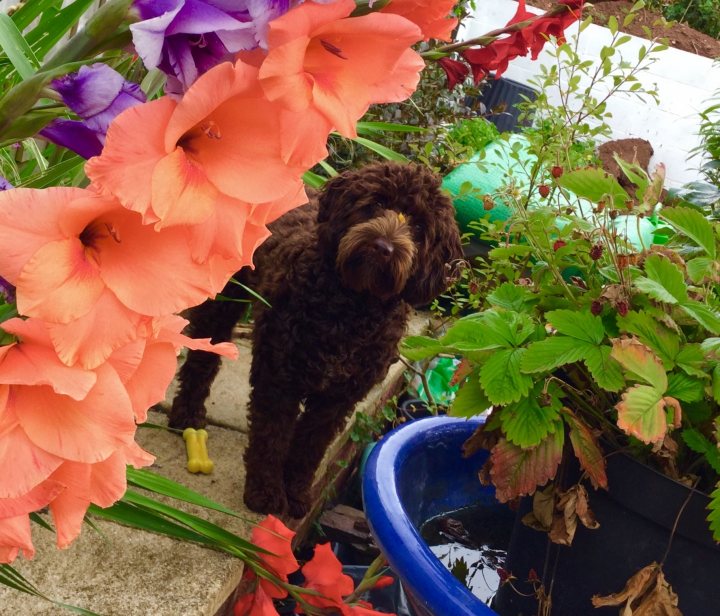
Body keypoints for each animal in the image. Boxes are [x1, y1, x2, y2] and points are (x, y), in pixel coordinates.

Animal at [169, 161, 462, 516]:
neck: (351, 307)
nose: (383, 247)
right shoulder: (279, 376)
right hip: (225, 296)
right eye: (377, 203)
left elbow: (309, 447)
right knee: (203, 354)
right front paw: (265, 492)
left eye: (419, 225)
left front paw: (295, 494)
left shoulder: (337, 399)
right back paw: (187, 414)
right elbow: (272, 436)